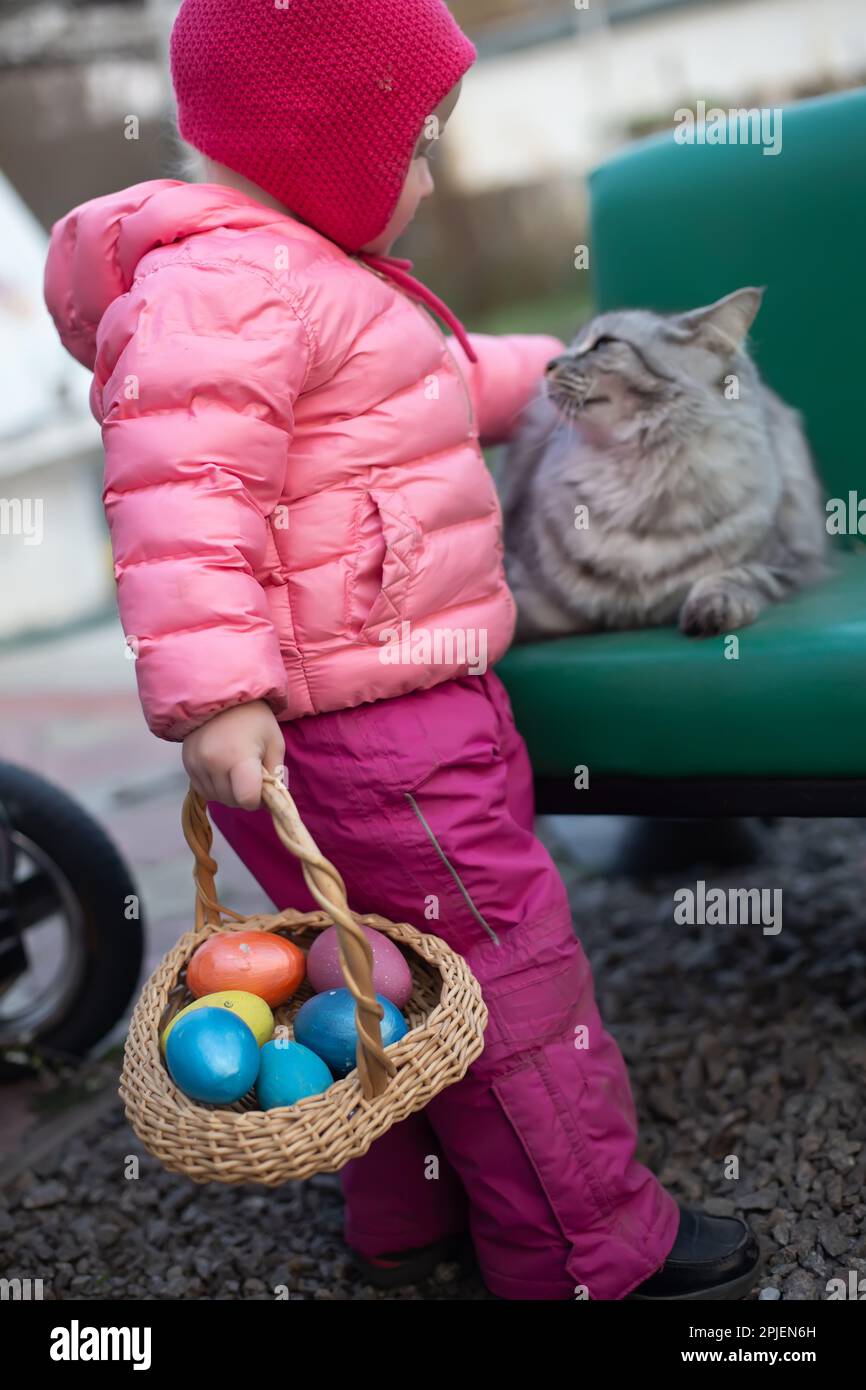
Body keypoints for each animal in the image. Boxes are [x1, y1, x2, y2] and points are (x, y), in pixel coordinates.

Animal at [500, 291, 828, 644]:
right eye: (572, 345)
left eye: (602, 344)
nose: (548, 365)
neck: (638, 478)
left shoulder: (789, 565)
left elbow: (736, 577)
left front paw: (711, 609)